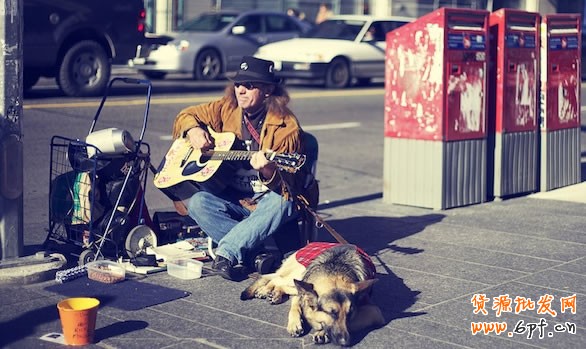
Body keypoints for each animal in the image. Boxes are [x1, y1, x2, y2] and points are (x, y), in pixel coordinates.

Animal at [241, 242, 384, 346]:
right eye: (331, 313)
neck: (335, 270)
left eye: (350, 314)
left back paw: (275, 294)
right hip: (298, 275)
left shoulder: (375, 312)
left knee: (284, 287)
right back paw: (266, 291)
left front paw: (322, 333)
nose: (345, 342)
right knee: (276, 279)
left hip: (299, 281)